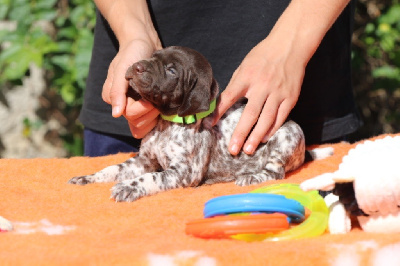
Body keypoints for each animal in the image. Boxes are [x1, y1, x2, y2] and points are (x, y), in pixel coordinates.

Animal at [69, 46, 332, 202]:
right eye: (152, 56)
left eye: (171, 70)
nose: (137, 66)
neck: (168, 124)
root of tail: (303, 153)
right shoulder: (145, 160)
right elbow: (113, 169)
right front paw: (88, 177)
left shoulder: (183, 172)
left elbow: (150, 178)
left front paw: (129, 187)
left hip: (287, 134)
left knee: (275, 172)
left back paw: (252, 177)